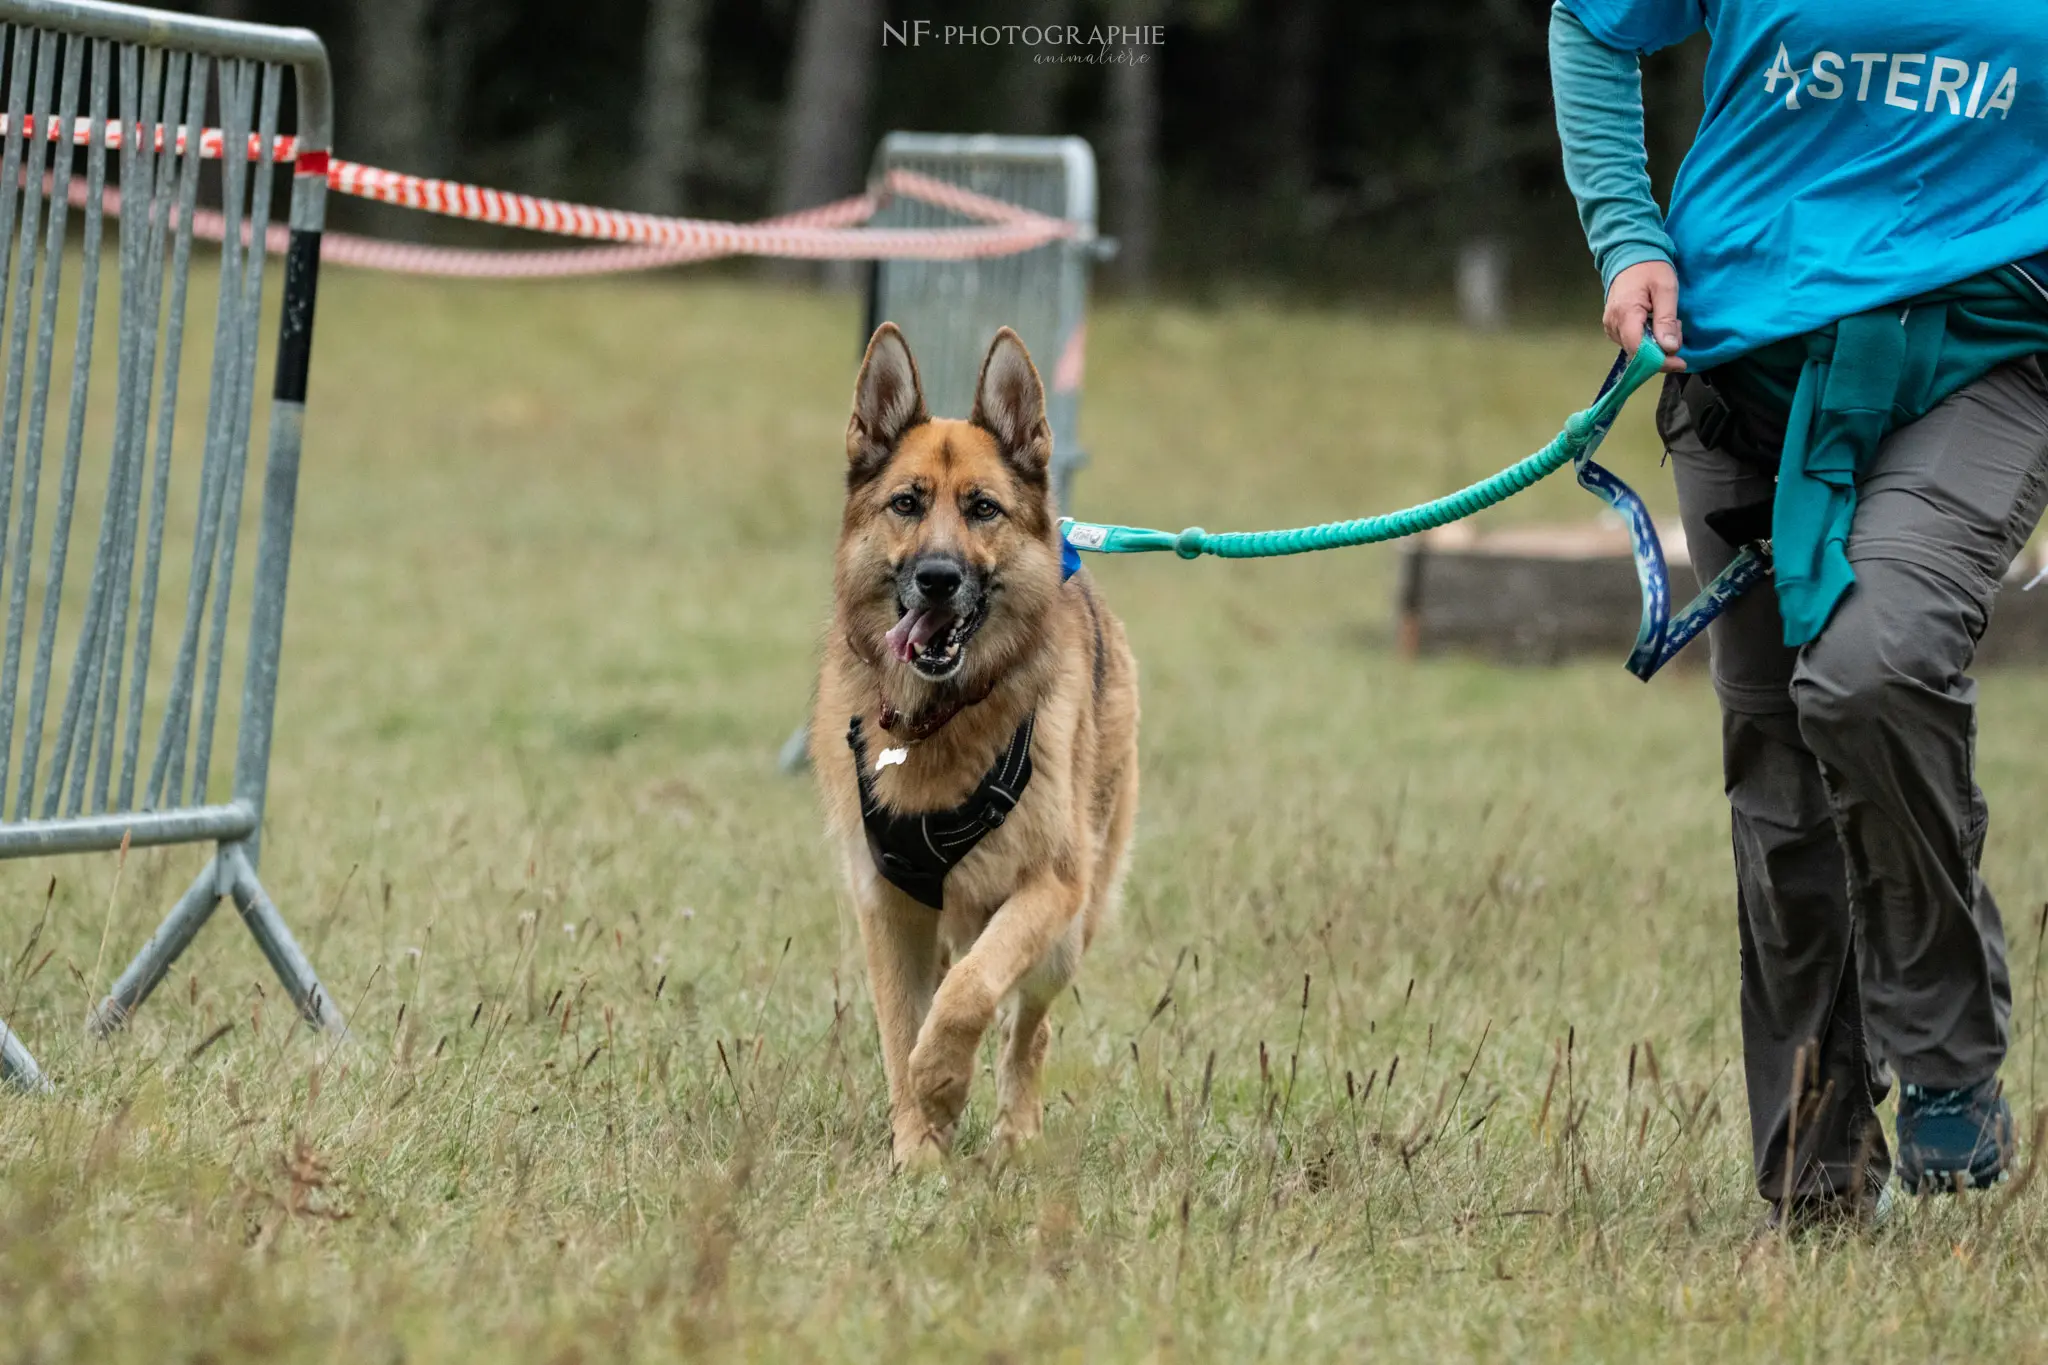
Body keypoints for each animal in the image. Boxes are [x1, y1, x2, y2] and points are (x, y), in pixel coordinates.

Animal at [811, 325, 1138, 1170]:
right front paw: (918, 1145)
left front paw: (941, 1081)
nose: (936, 578)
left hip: (1068, 933)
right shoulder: (888, 909)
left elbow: (965, 997)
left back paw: (1015, 1130)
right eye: (907, 503)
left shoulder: (1047, 889)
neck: (937, 723)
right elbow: (901, 1030)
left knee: (1028, 1028)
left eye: (983, 508)